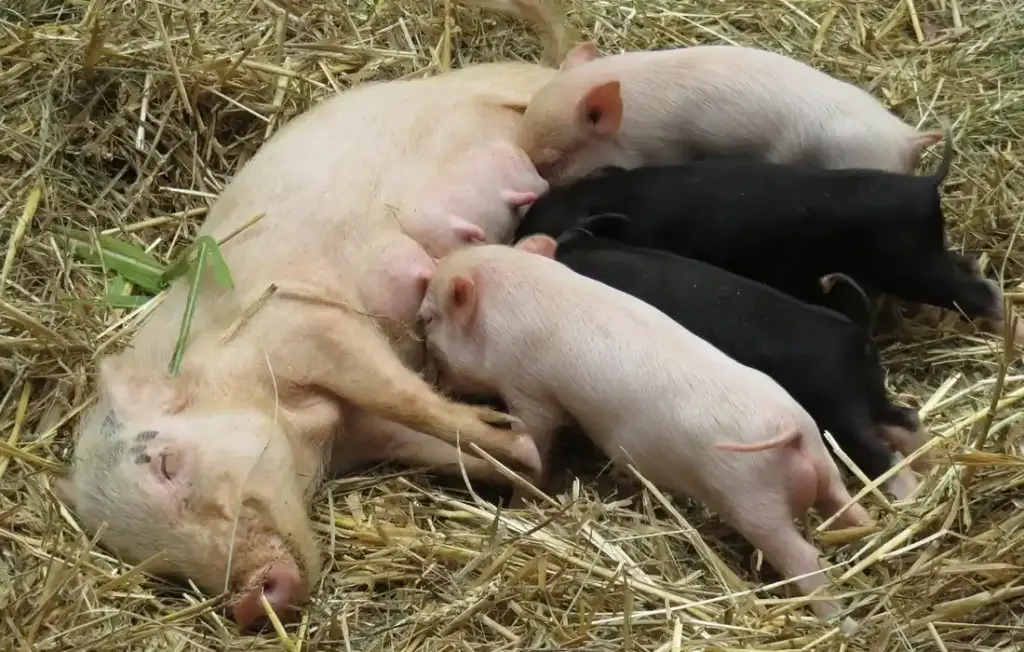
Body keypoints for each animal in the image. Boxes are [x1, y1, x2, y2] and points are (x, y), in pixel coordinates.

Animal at [54, 0, 573, 633]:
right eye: (157, 564)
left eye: (165, 463)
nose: (251, 597)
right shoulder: (365, 430)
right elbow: (438, 446)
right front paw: (532, 473)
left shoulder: (307, 318)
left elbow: (405, 396)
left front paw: (517, 442)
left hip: (523, 94)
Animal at [418, 236, 874, 631]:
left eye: (430, 317)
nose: (430, 374)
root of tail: (793, 431)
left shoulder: (528, 389)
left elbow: (536, 439)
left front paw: (518, 504)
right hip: (825, 461)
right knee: (850, 508)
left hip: (754, 499)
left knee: (803, 555)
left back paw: (842, 624)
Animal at [514, 132, 1024, 346]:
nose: (515, 235)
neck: (615, 198)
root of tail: (924, 186)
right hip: (928, 255)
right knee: (971, 267)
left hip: (911, 264)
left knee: (980, 291)